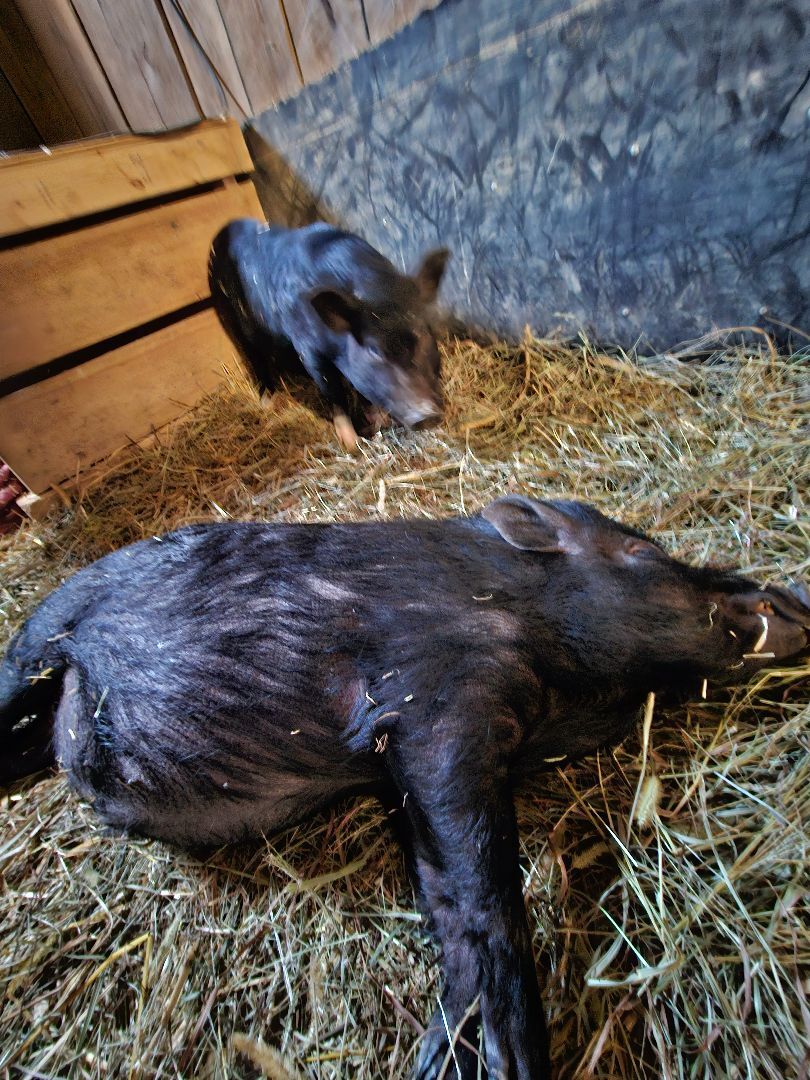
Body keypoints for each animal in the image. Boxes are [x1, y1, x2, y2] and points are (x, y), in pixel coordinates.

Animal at [1, 495, 808, 1079]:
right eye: (643, 554)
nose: (792, 592)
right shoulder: (438, 694)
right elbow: (485, 878)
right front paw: (502, 1064)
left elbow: (446, 884)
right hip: (32, 647)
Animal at [209, 220, 450, 450]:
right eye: (373, 350)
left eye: (422, 333)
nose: (426, 414)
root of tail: (222, 232)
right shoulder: (306, 347)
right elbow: (332, 390)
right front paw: (352, 444)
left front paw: (379, 419)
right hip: (234, 321)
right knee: (255, 359)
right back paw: (269, 402)